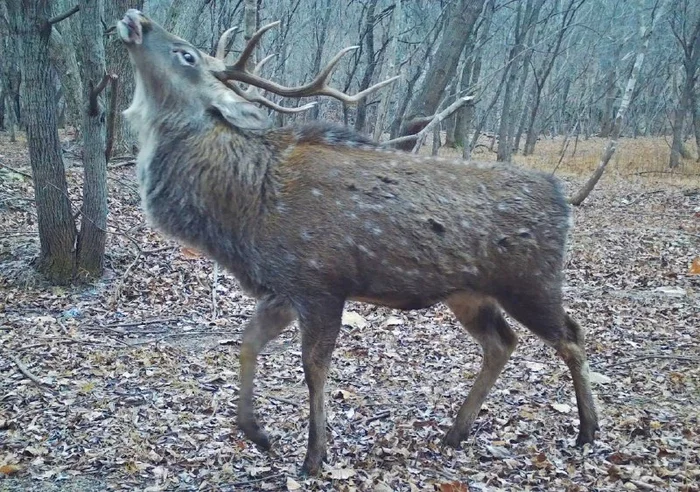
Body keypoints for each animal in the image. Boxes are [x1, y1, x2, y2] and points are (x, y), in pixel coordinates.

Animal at [117, 8, 600, 476]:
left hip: (531, 282)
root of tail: (562, 199)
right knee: (502, 342)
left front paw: (314, 456)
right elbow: (248, 341)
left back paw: (587, 430)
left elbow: (314, 367)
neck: (246, 206)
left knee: (572, 335)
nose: (135, 17)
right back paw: (455, 433)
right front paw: (258, 434)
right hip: (469, 294)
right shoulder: (282, 288)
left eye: (186, 54)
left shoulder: (320, 282)